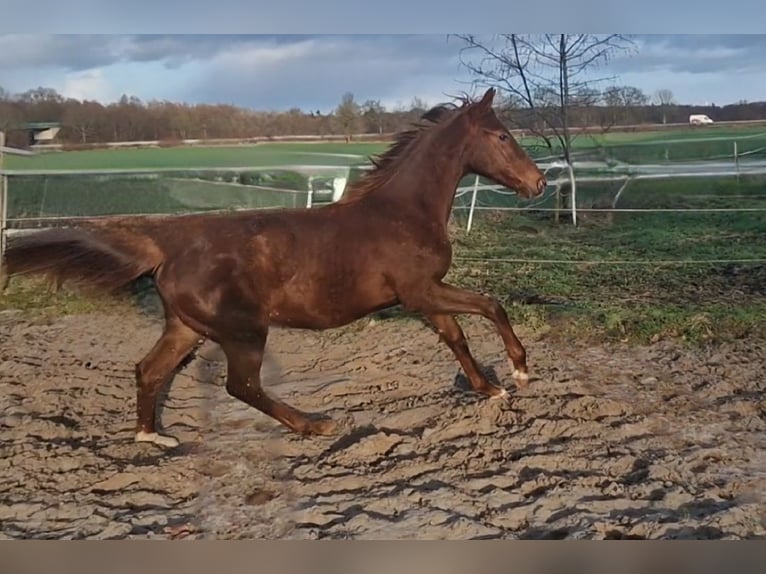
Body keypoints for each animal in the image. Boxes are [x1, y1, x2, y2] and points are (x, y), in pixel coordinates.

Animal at [3, 89, 548, 450]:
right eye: (502, 135)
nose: (538, 183)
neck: (402, 211)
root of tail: (167, 244)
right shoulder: (421, 291)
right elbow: (490, 307)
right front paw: (519, 370)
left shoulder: (423, 296)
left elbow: (456, 337)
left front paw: (490, 388)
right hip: (243, 331)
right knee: (240, 386)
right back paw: (316, 424)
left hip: (187, 327)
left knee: (150, 369)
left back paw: (152, 436)